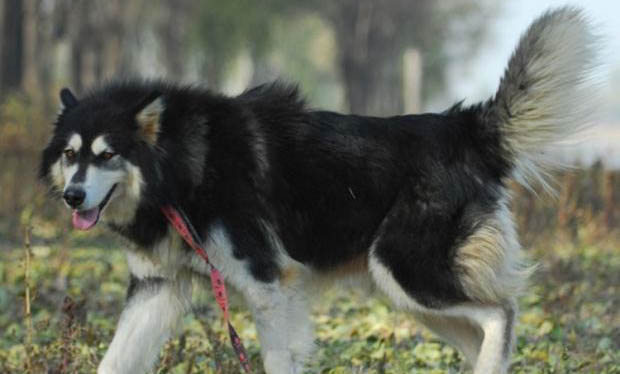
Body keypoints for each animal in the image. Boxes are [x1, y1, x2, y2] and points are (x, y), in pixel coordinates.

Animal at [40, 8, 596, 374]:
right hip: (406, 292)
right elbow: (114, 361)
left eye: (107, 155)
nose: (73, 197)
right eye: (70, 155)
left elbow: (278, 359)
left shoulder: (269, 284)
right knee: (482, 329)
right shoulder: (158, 287)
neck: (184, 166)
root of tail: (460, 127)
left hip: (407, 271)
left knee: (501, 313)